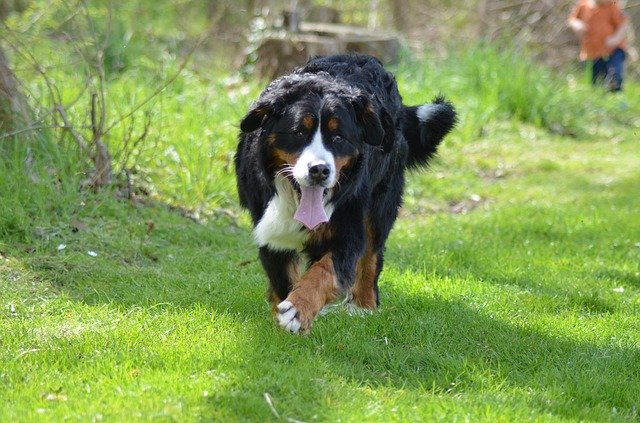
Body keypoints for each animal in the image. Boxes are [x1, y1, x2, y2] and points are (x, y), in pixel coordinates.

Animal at [235, 53, 456, 334]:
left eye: (338, 137)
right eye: (298, 132)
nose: (319, 170)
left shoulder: (348, 227)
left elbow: (325, 271)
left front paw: (298, 309)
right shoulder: (270, 231)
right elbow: (284, 279)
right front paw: (288, 313)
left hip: (380, 202)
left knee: (373, 253)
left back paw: (363, 303)